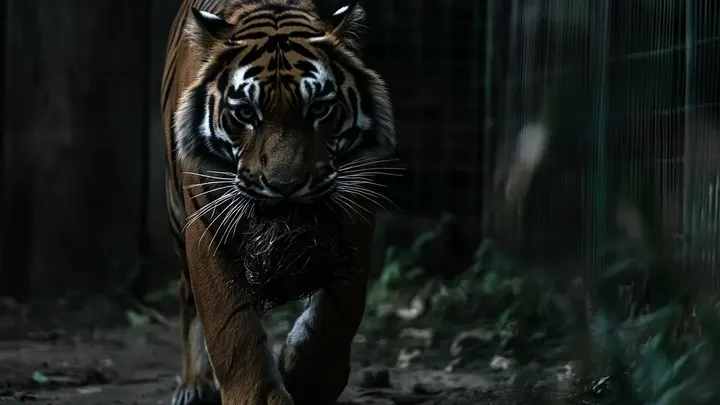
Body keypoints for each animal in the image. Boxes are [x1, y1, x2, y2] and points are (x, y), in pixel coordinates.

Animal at [159, 1, 395, 405]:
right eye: (245, 113)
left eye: (318, 109)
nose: (285, 186)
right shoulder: (206, 225)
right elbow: (232, 328)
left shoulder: (357, 211)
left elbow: (338, 312)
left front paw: (309, 381)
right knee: (186, 295)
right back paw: (194, 385)